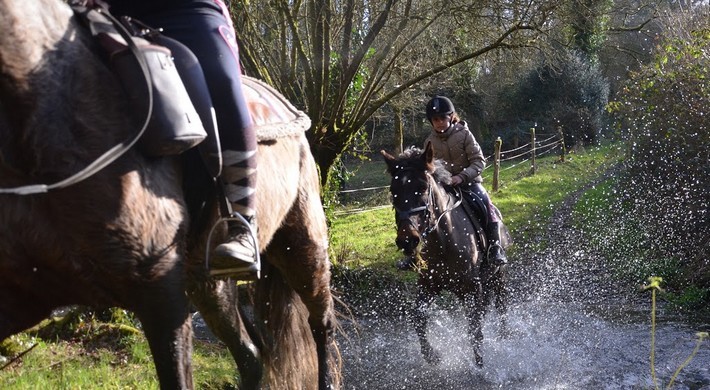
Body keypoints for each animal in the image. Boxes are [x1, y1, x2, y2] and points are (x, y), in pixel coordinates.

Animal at [382, 142, 508, 366]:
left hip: (498, 276)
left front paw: (480, 364)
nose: (407, 240)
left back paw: (504, 338)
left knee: (501, 306)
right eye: (393, 191)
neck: (444, 243)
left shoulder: (471, 287)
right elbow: (418, 317)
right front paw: (431, 355)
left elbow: (475, 329)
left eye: (423, 188)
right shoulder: (428, 285)